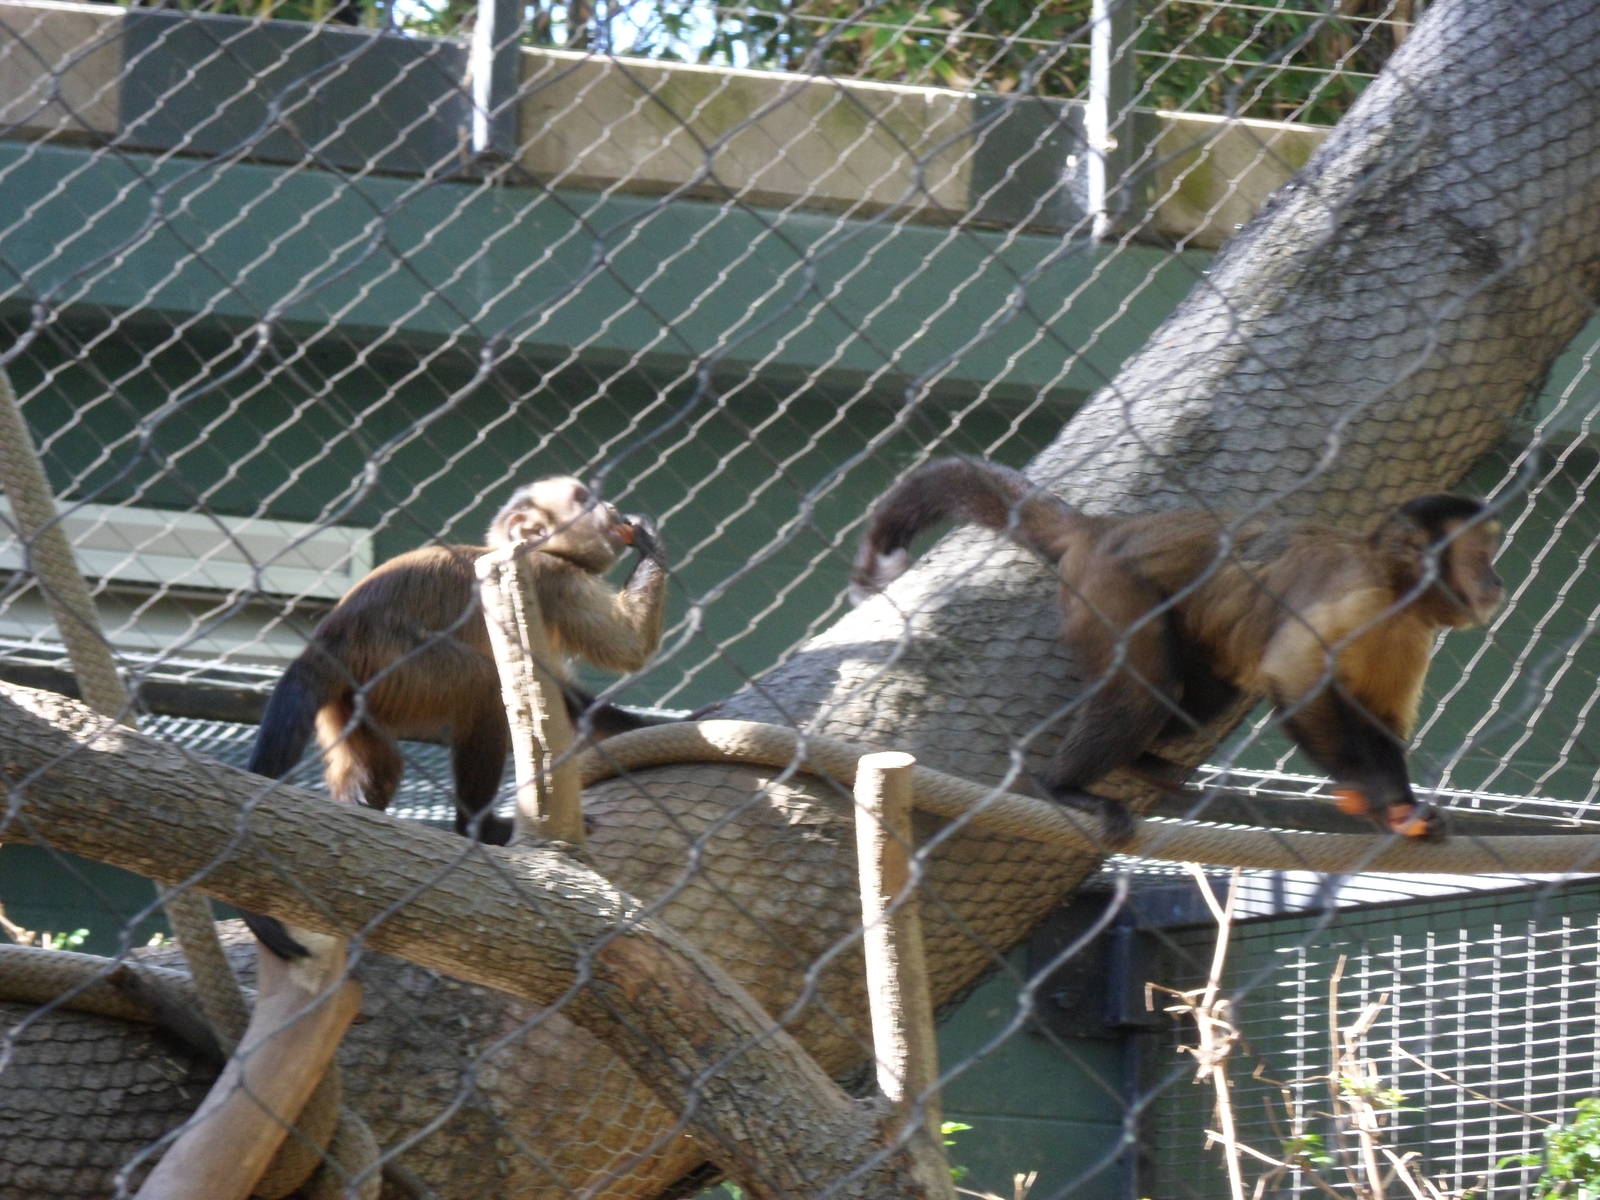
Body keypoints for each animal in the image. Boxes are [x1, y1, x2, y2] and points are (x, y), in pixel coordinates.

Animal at [243, 475, 668, 958]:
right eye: (584, 499)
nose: (611, 508)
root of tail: (332, 638)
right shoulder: (552, 576)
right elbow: (628, 648)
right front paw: (649, 536)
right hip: (405, 666)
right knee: (482, 686)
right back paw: (476, 827)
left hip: (355, 700)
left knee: (382, 762)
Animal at [850, 458, 1504, 846]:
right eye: (1479, 557)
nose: (1495, 582)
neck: (1396, 587)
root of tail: (1104, 528)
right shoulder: (1355, 592)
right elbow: (1296, 679)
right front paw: (1378, 797)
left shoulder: (1412, 630)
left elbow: (1377, 714)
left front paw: (1400, 807)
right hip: (1106, 588)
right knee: (1144, 692)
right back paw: (1064, 787)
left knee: (1203, 700)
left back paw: (1146, 762)